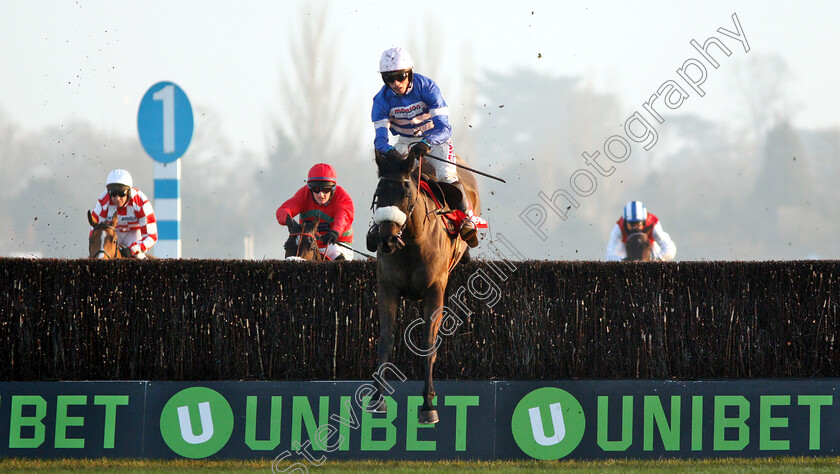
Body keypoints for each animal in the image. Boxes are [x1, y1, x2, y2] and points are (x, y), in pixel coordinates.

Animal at [370, 151, 482, 422]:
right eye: (379, 193)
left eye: (406, 192)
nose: (386, 239)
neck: (412, 241)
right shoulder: (387, 288)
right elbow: (385, 340)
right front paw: (378, 398)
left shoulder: (434, 291)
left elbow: (428, 344)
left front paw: (428, 405)